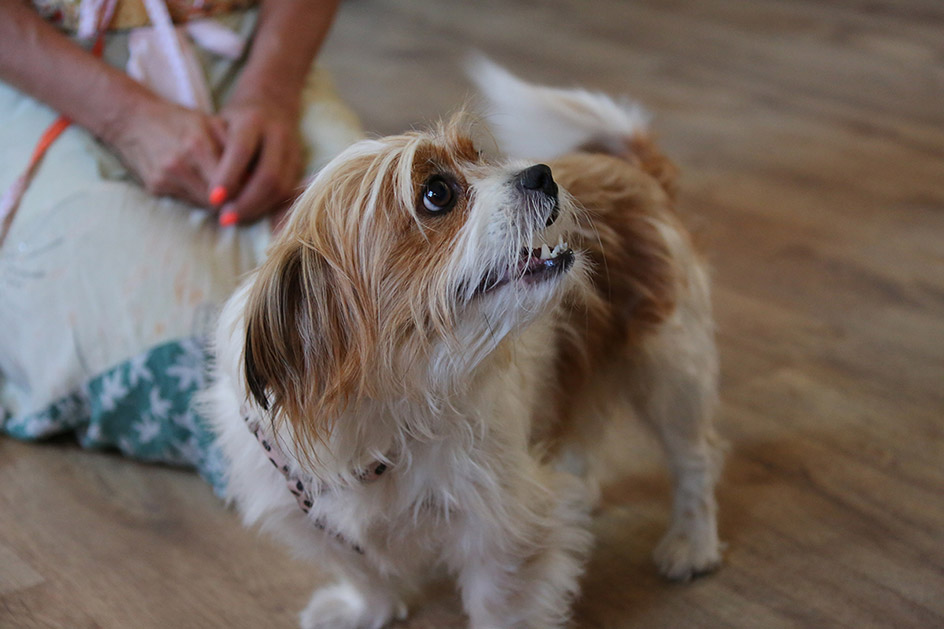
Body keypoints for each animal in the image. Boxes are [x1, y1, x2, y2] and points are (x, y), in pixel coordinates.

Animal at [205, 60, 724, 628]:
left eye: (478, 158)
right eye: (437, 193)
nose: (542, 173)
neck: (386, 418)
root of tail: (633, 171)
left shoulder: (504, 531)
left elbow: (501, 608)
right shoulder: (320, 524)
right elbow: (366, 573)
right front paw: (365, 609)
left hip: (671, 368)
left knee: (694, 462)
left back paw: (692, 544)